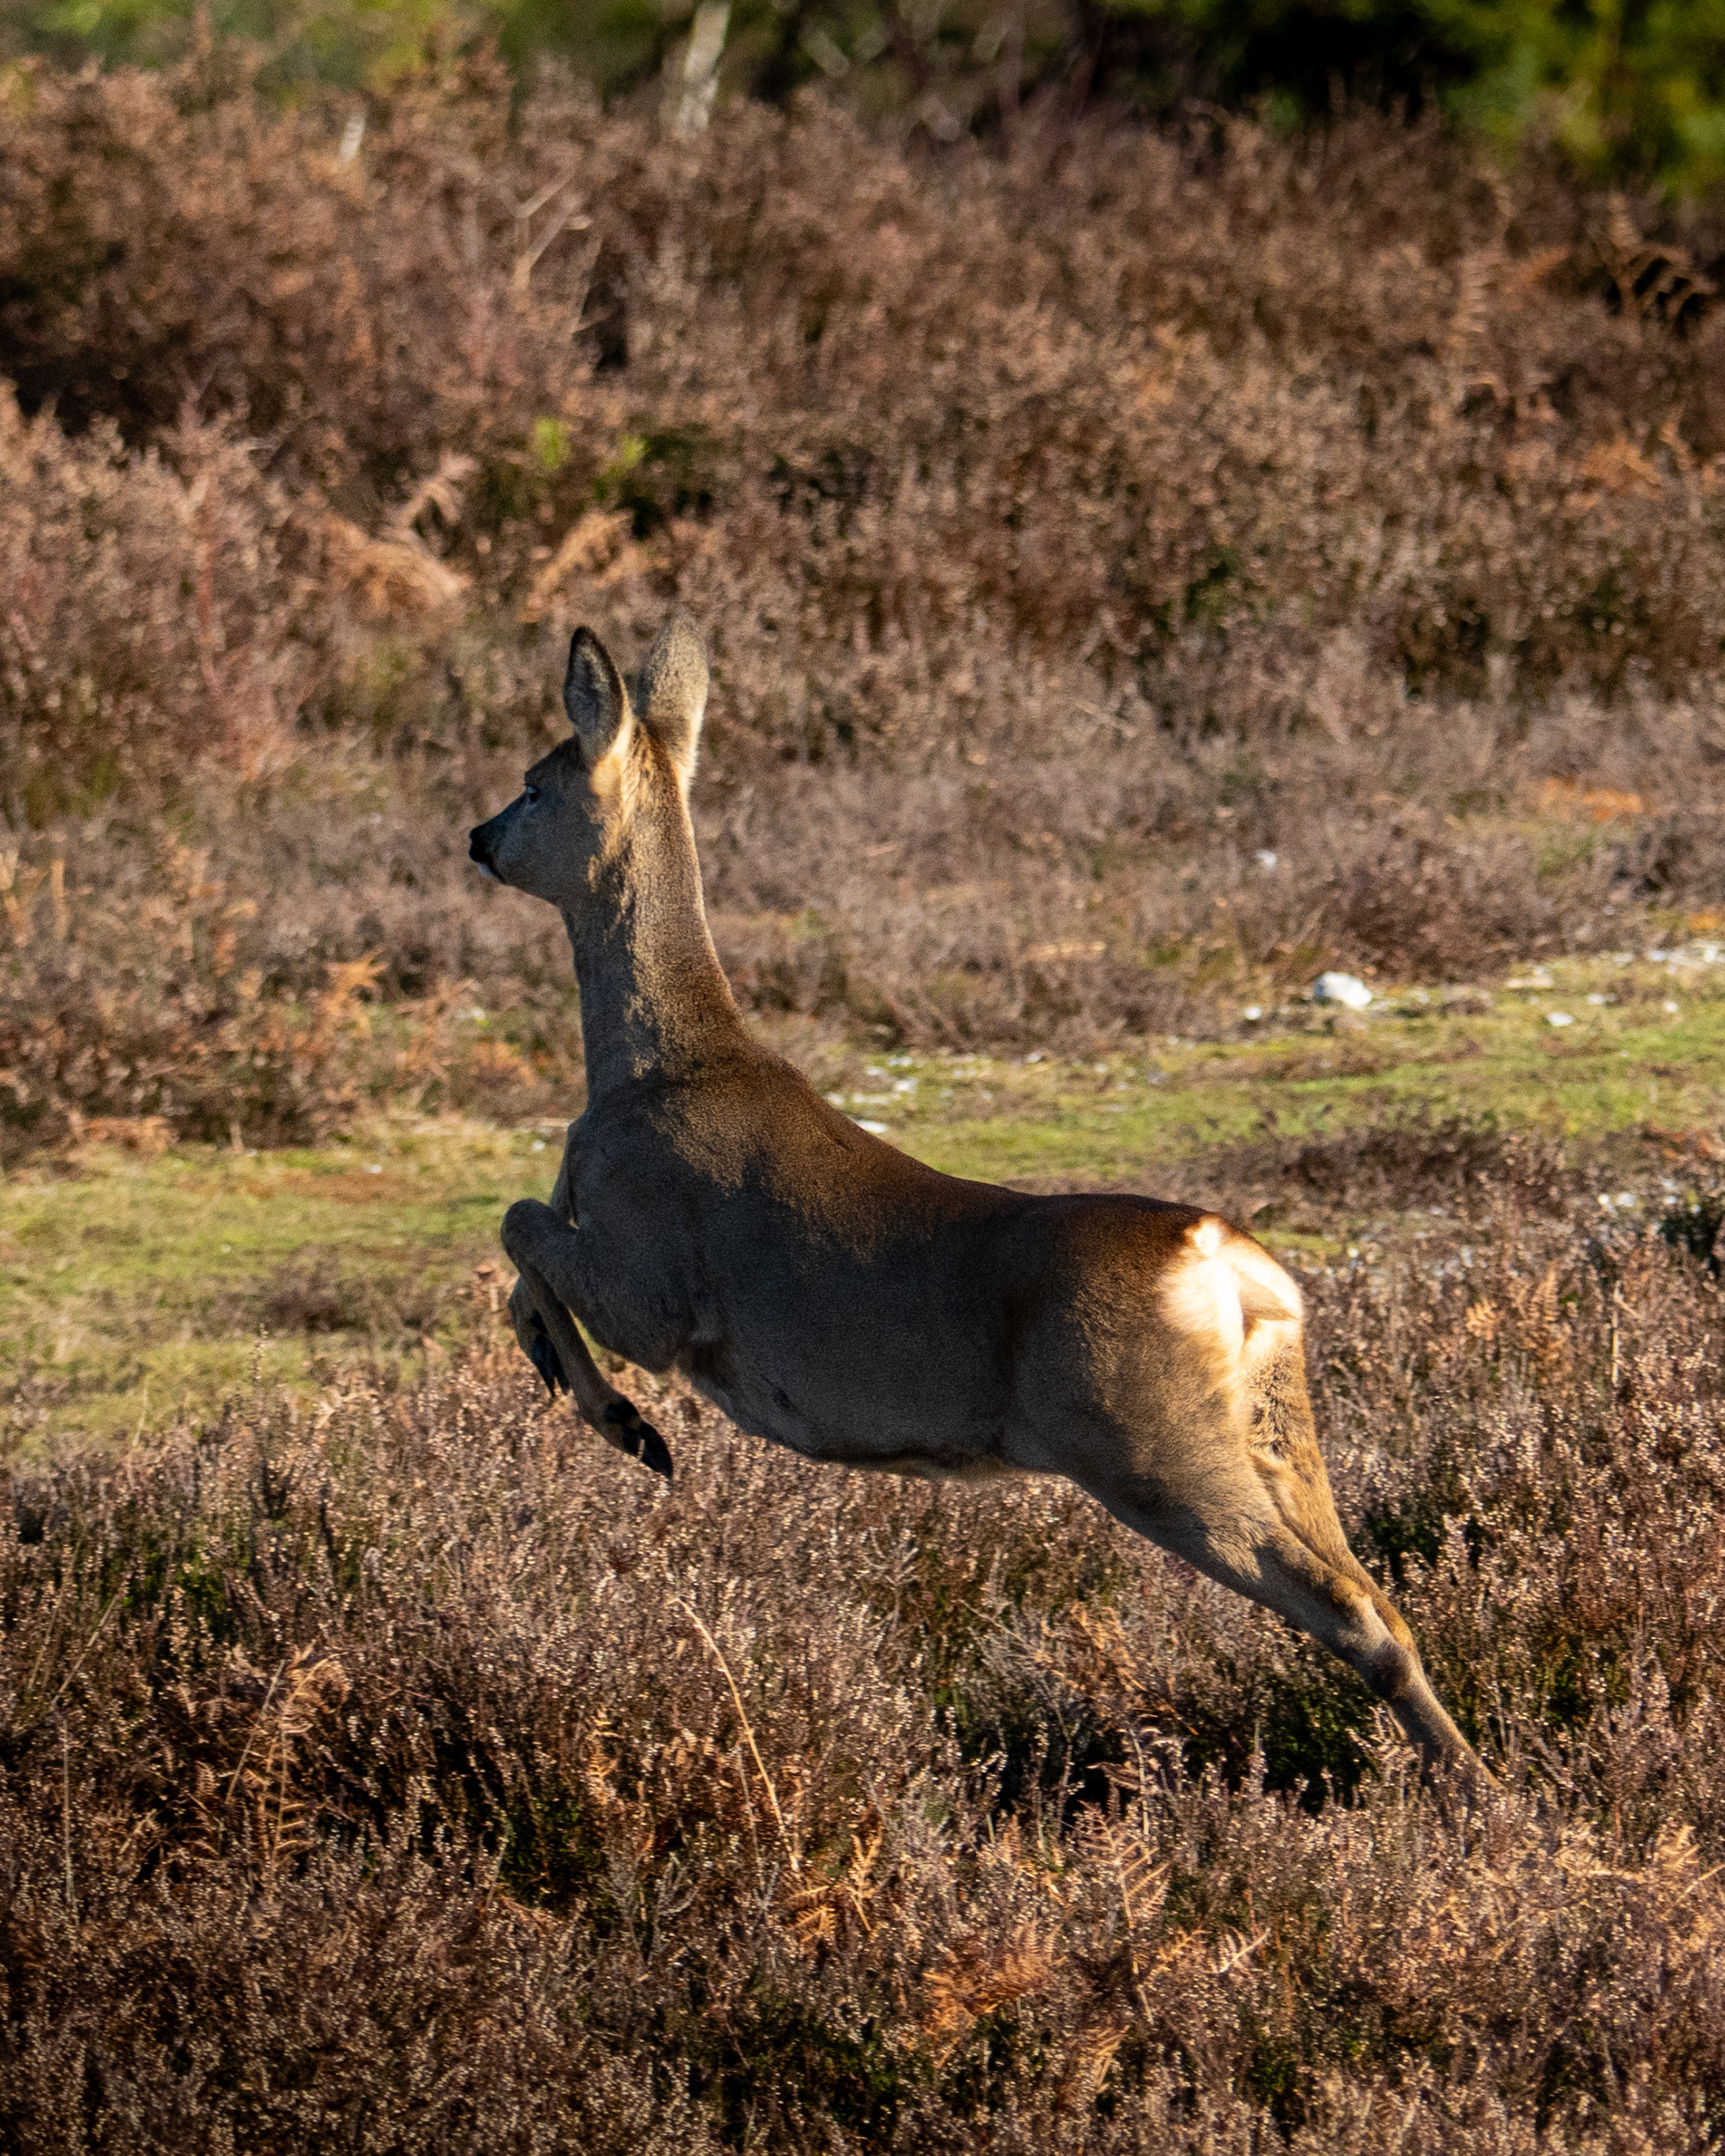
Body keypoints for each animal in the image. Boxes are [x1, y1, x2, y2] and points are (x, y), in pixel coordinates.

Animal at [469, 614, 1484, 1785]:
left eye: (533, 782)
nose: (477, 836)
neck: (656, 1072)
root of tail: (1223, 1257)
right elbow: (520, 1264)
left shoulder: (659, 1290)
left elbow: (517, 1223)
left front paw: (628, 1424)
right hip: (1278, 1429)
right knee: (1380, 1598)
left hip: (1149, 1445)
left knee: (1348, 1612)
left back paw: (1475, 1796)